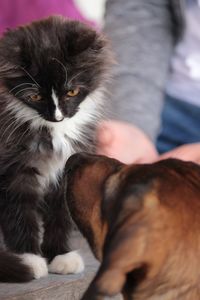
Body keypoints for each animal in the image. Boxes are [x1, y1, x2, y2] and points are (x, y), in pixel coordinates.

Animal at [0, 15, 112, 282]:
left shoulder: (68, 168)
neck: (52, 132)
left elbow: (61, 214)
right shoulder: (14, 171)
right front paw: (28, 259)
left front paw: (61, 255)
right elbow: (19, 213)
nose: (58, 117)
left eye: (71, 91)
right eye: (35, 97)